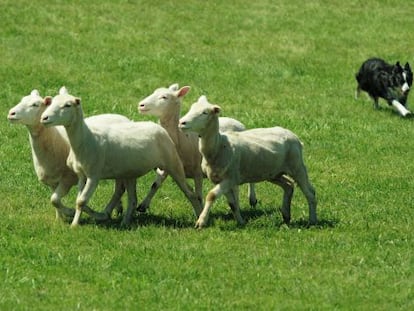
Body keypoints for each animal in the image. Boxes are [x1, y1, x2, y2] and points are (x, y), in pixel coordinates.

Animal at [8, 88, 130, 222]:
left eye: (35, 105)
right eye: (22, 100)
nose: (11, 113)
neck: (54, 141)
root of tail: (123, 117)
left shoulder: (68, 178)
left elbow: (54, 200)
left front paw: (70, 212)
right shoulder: (52, 181)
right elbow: (54, 200)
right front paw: (59, 219)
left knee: (120, 188)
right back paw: (118, 209)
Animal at [39, 89, 201, 228]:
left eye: (67, 105)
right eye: (51, 102)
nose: (44, 118)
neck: (86, 139)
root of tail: (159, 127)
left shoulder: (94, 175)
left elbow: (81, 201)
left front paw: (74, 224)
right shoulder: (81, 175)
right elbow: (79, 200)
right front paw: (84, 216)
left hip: (173, 163)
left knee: (191, 193)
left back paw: (199, 218)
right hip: (130, 172)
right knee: (132, 199)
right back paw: (125, 221)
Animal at [137, 84, 258, 213]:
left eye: (164, 97)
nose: (141, 105)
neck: (181, 139)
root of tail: (238, 122)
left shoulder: (197, 172)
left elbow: (199, 196)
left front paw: (200, 211)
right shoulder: (168, 166)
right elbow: (155, 184)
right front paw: (143, 205)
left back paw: (252, 199)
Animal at [178, 95, 316, 229]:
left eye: (204, 113)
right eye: (192, 107)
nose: (182, 122)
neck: (219, 145)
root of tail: (294, 135)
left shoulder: (230, 178)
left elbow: (211, 195)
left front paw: (201, 222)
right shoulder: (219, 180)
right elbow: (232, 203)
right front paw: (241, 222)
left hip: (297, 166)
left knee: (310, 192)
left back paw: (312, 220)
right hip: (273, 173)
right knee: (289, 185)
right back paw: (286, 216)